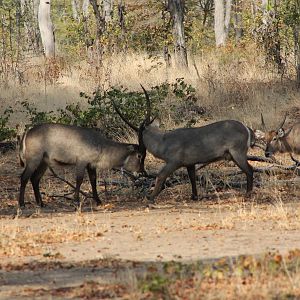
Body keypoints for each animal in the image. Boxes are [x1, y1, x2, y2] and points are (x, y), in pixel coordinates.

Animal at [113, 86, 254, 204]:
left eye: (138, 134)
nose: (140, 149)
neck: (162, 140)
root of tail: (246, 127)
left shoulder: (173, 163)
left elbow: (160, 176)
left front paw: (150, 197)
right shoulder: (190, 164)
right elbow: (192, 178)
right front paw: (194, 196)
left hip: (237, 154)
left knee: (250, 170)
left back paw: (248, 194)